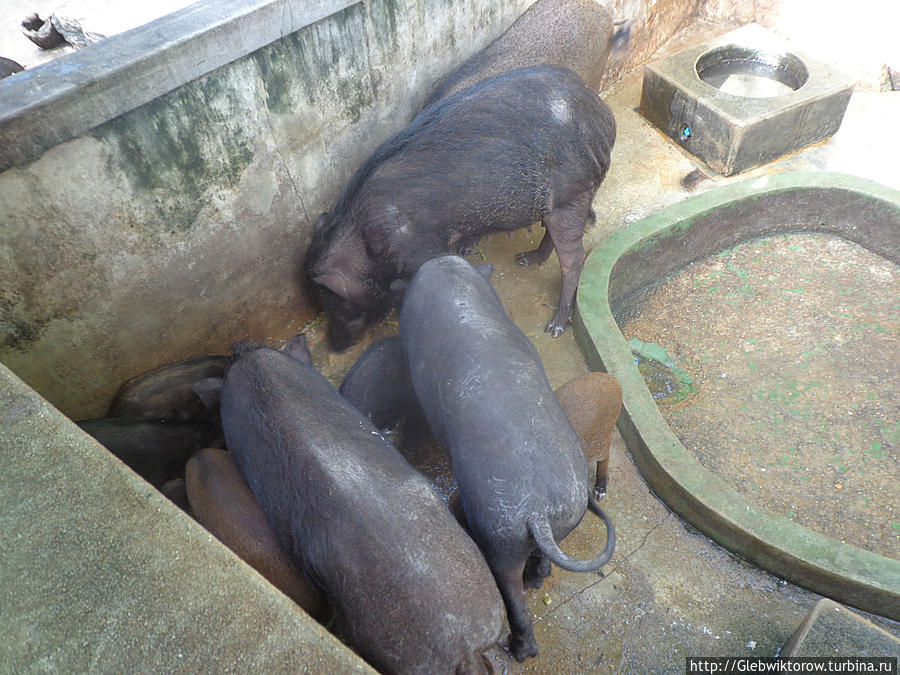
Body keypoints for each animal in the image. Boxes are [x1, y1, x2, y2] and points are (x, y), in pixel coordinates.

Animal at [306, 64, 616, 352]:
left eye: (335, 304)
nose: (335, 346)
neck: (366, 241)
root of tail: (602, 114)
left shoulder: (424, 248)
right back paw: (525, 259)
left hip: (572, 197)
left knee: (574, 260)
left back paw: (554, 327)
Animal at [400, 258, 616, 660]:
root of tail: (537, 510)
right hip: (567, 512)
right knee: (543, 559)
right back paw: (537, 580)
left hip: (498, 535)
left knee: (512, 592)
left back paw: (519, 650)